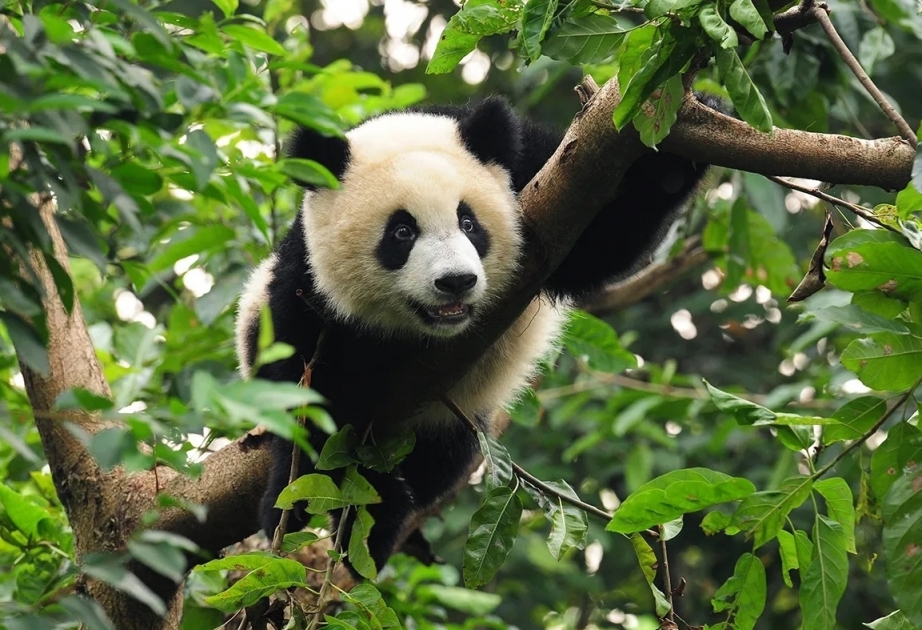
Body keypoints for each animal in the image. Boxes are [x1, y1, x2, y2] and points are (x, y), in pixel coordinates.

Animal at [236, 96, 714, 577]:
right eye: (402, 232)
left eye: (468, 223)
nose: (456, 281)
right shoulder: (307, 285)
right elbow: (313, 395)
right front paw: (308, 501)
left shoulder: (538, 175)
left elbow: (600, 242)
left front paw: (682, 144)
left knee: (441, 462)